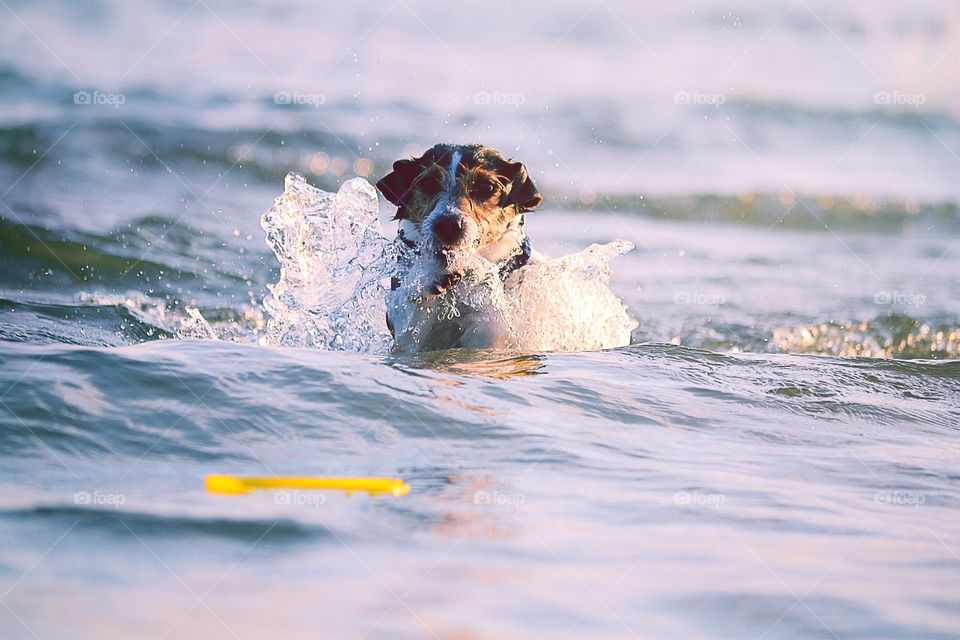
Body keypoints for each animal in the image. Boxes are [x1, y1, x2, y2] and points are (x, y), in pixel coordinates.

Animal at [374, 144, 540, 350]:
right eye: (428, 183)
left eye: (487, 187)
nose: (447, 224)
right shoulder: (408, 335)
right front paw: (430, 273)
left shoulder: (494, 331)